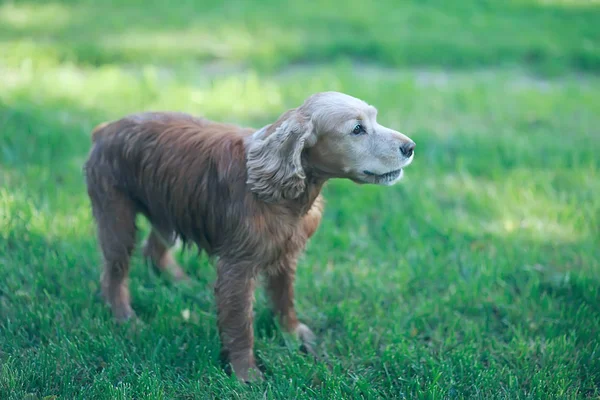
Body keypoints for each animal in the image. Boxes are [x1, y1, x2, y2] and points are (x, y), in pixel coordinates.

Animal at [83, 90, 412, 382]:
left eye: (375, 118)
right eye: (357, 129)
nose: (410, 147)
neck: (281, 189)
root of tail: (104, 130)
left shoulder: (285, 255)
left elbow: (284, 300)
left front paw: (293, 335)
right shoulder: (237, 266)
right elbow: (240, 324)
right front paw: (246, 374)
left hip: (168, 208)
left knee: (154, 250)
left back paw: (182, 284)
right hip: (117, 218)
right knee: (114, 275)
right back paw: (126, 320)